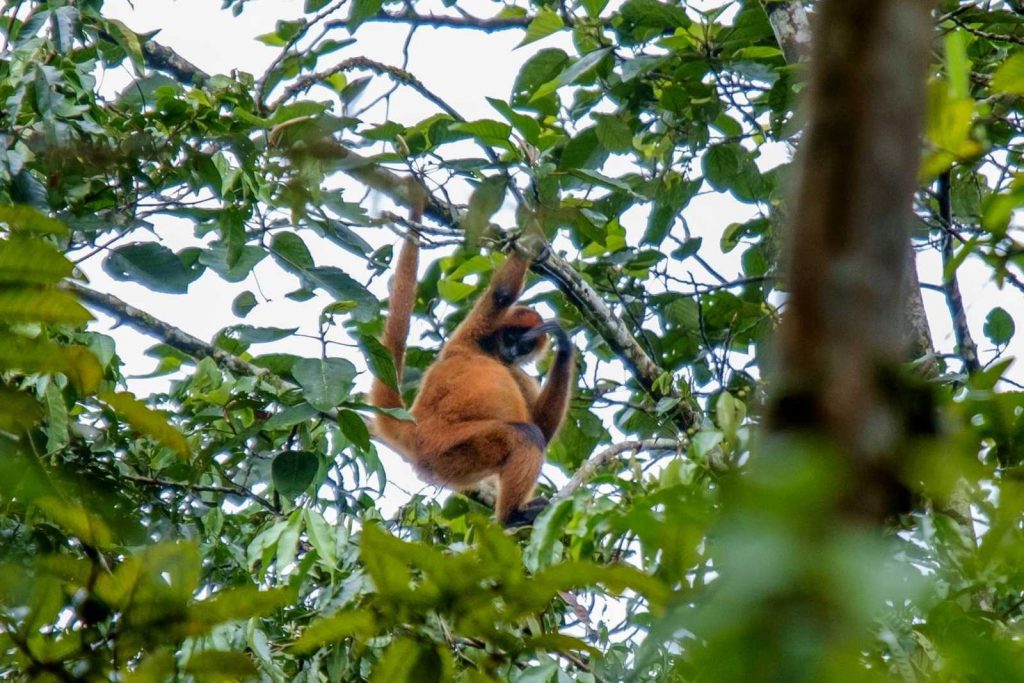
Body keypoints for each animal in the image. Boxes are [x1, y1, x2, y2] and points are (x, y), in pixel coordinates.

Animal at [370, 194, 577, 528]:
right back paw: (511, 515)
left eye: (525, 347)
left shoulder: (515, 371)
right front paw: (533, 239)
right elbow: (501, 296)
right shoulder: (471, 334)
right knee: (524, 434)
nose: (512, 352)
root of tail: (414, 428)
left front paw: (566, 347)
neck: (489, 350)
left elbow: (543, 428)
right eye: (511, 337)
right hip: (449, 445)